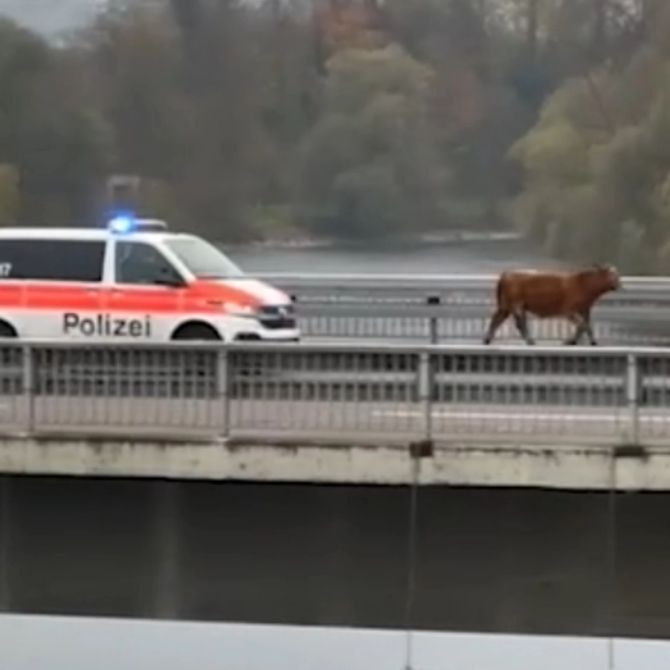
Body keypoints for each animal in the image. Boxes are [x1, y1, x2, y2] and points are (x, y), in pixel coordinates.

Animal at [484, 264, 624, 346]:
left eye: (617, 275)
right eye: (612, 275)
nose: (619, 285)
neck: (584, 284)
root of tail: (507, 274)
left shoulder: (585, 310)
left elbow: (587, 325)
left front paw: (592, 341)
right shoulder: (569, 310)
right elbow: (582, 325)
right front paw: (571, 341)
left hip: (506, 306)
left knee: (497, 319)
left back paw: (487, 339)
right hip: (516, 304)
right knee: (520, 323)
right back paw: (530, 340)